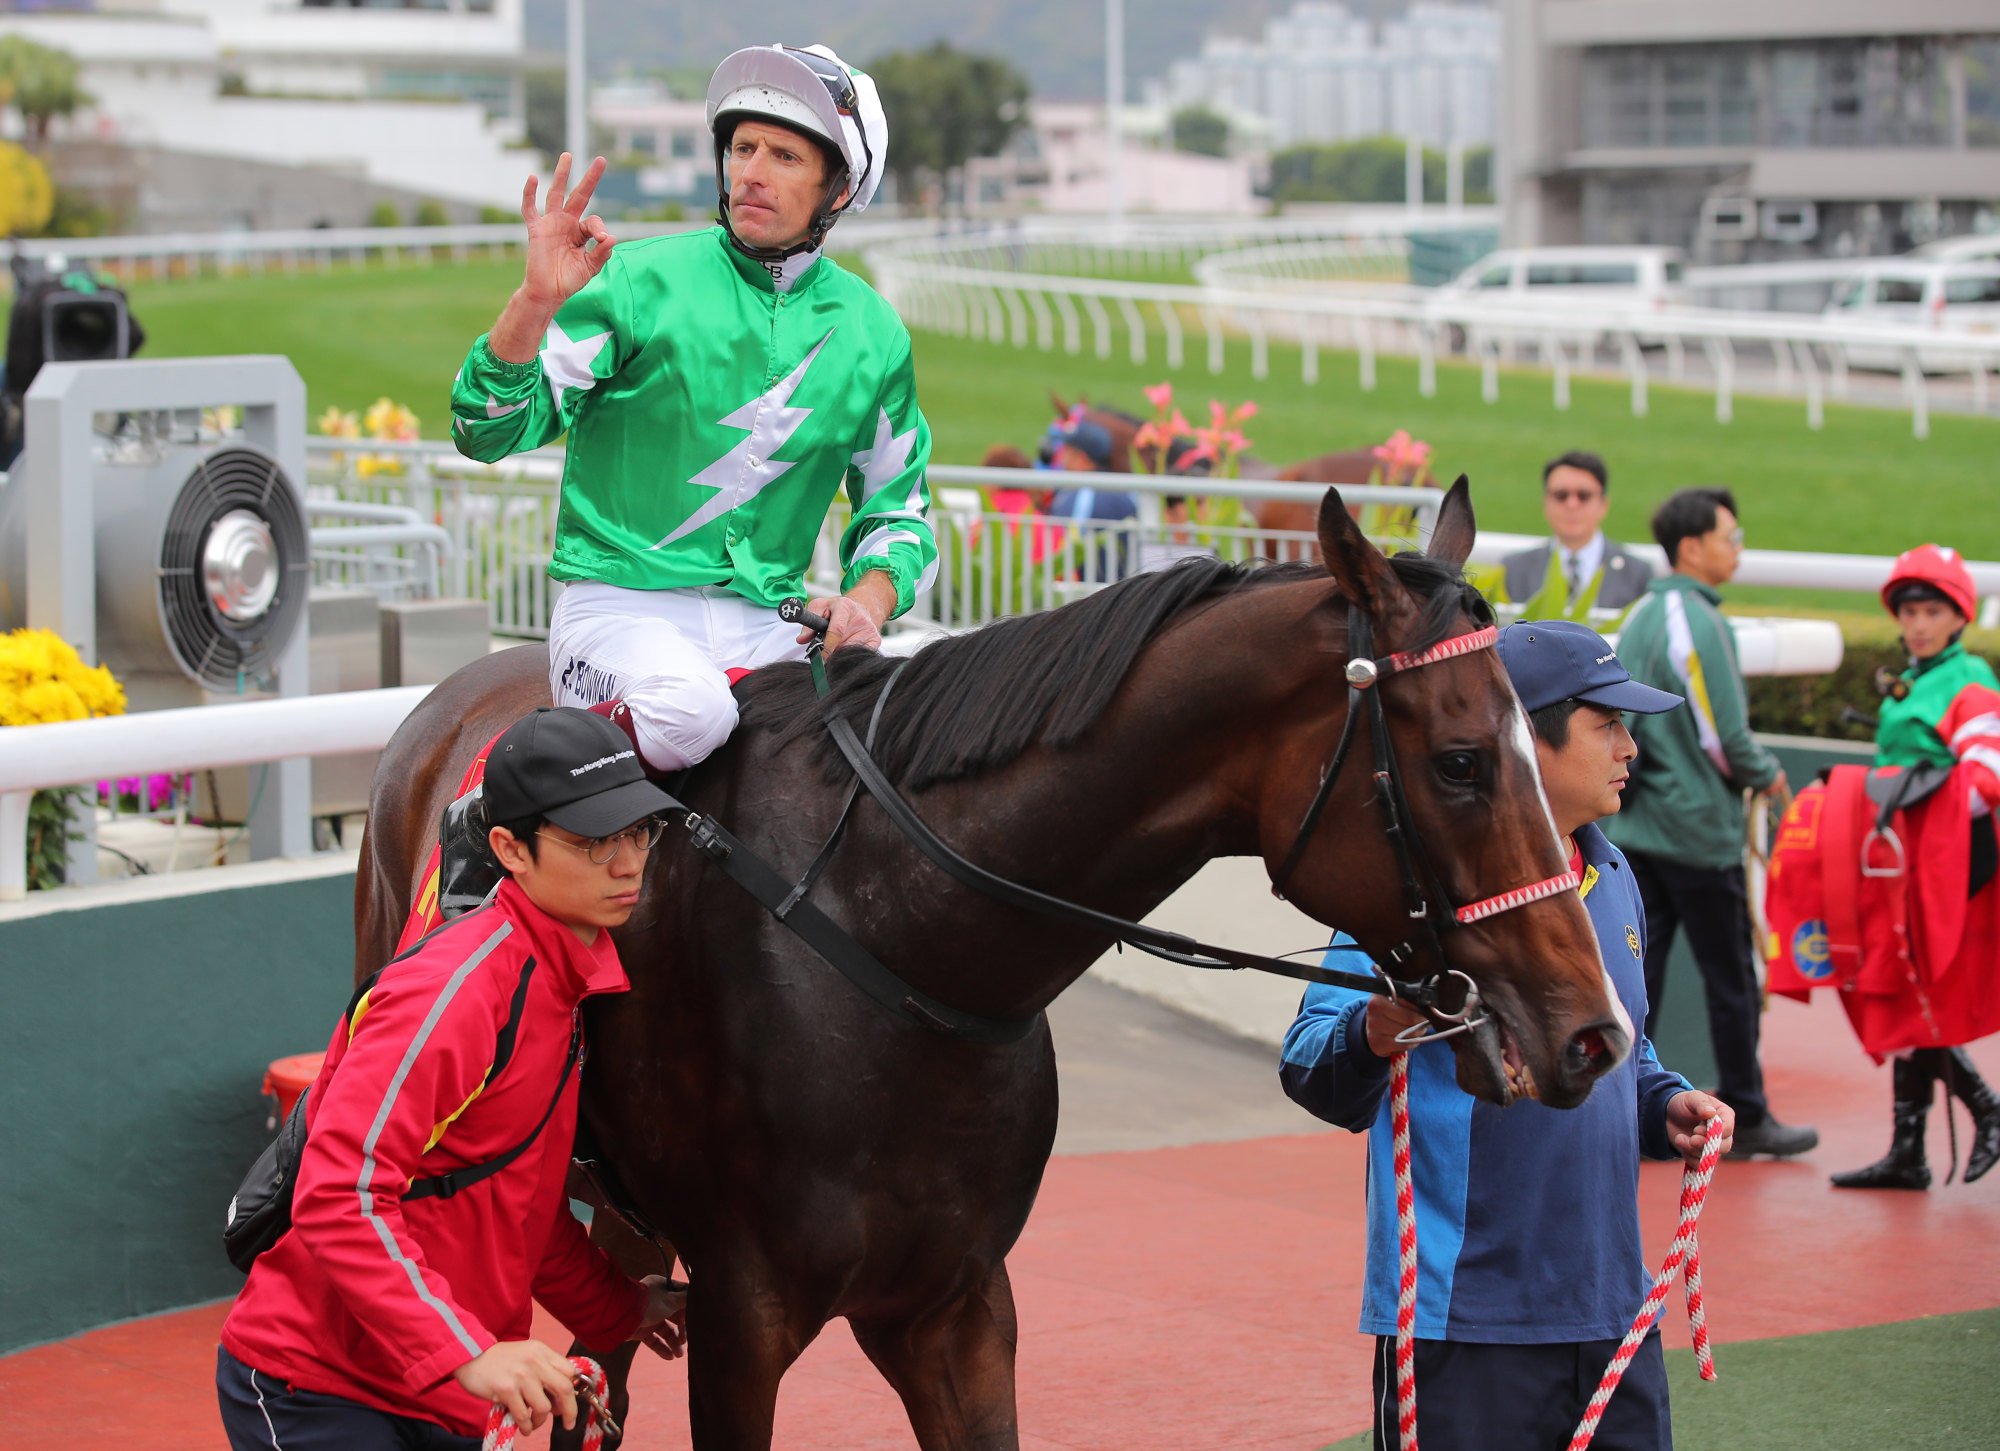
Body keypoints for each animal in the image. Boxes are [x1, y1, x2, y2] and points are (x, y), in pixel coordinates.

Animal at [356, 489, 1624, 1451]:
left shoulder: (955, 1305)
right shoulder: (741, 1316)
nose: (1592, 1030)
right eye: (1459, 761)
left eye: (1530, 740)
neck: (893, 935)